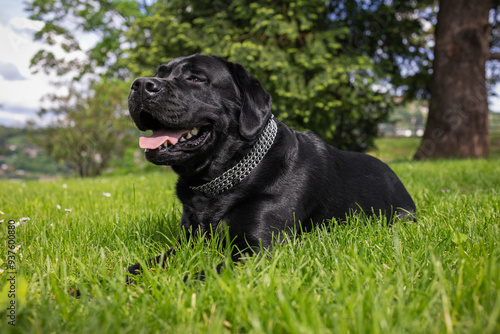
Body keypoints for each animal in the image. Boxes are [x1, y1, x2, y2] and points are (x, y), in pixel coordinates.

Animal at [127, 54, 416, 280]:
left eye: (196, 79)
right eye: (160, 73)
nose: (139, 85)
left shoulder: (258, 250)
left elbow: (198, 275)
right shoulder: (187, 242)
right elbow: (141, 266)